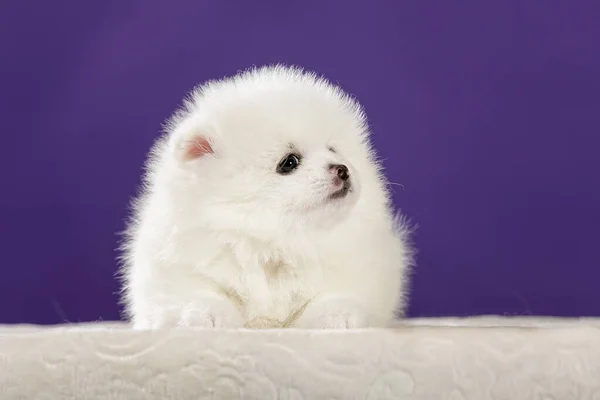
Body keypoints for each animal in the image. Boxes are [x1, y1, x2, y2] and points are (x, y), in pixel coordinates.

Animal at [120, 65, 414, 328]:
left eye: (333, 149)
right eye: (289, 162)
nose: (342, 169)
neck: (278, 241)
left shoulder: (362, 266)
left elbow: (336, 293)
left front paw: (337, 314)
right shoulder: (177, 266)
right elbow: (197, 292)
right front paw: (205, 314)